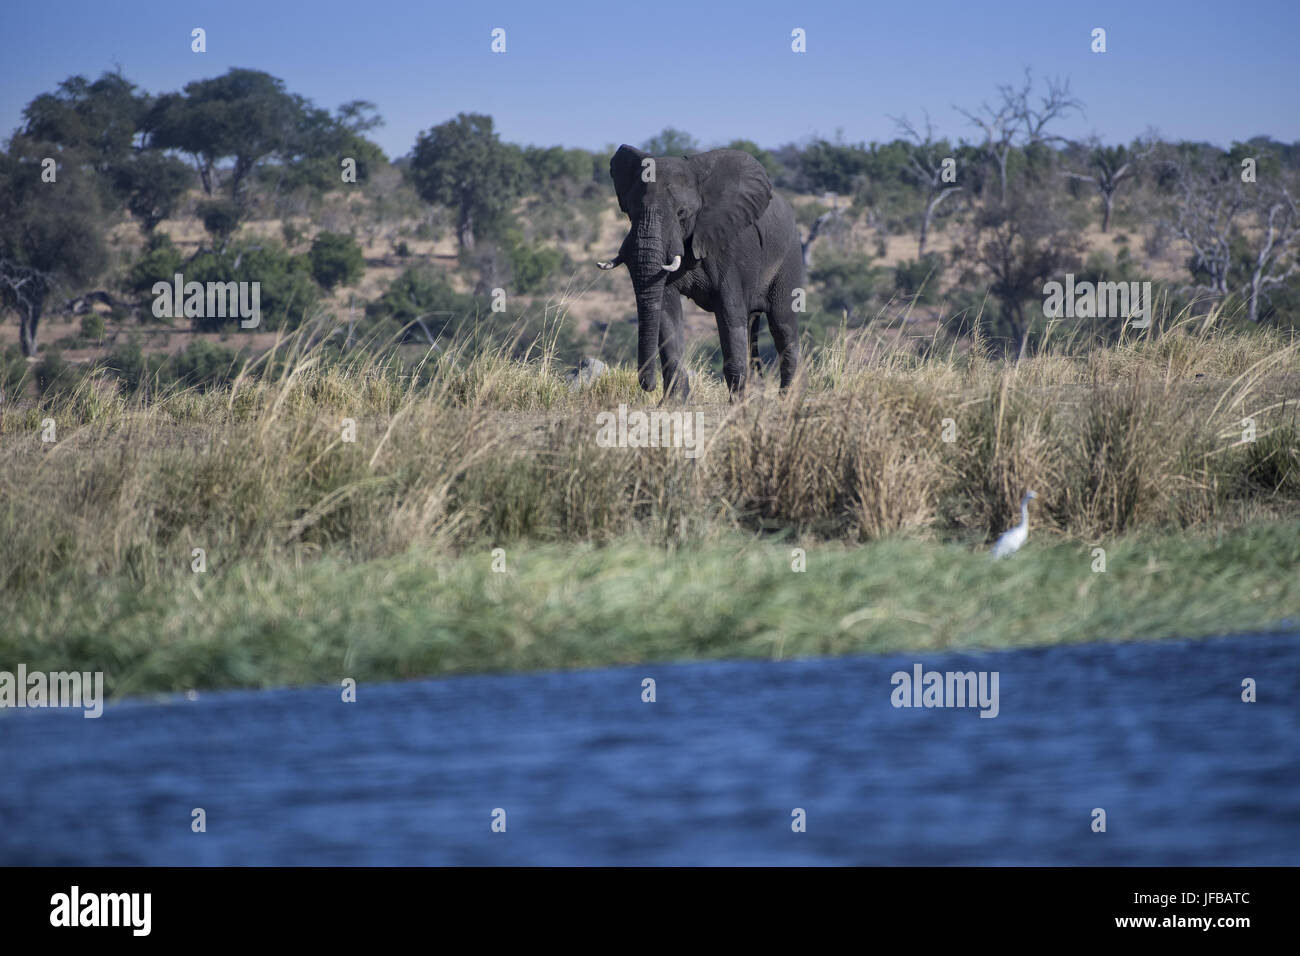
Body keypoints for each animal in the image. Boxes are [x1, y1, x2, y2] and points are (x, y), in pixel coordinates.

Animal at [595, 143, 800, 398]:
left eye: (682, 213)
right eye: (630, 212)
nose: (647, 386)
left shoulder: (730, 249)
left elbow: (730, 313)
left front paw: (737, 405)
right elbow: (667, 312)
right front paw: (672, 403)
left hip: (790, 258)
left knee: (782, 326)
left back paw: (785, 400)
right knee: (752, 326)